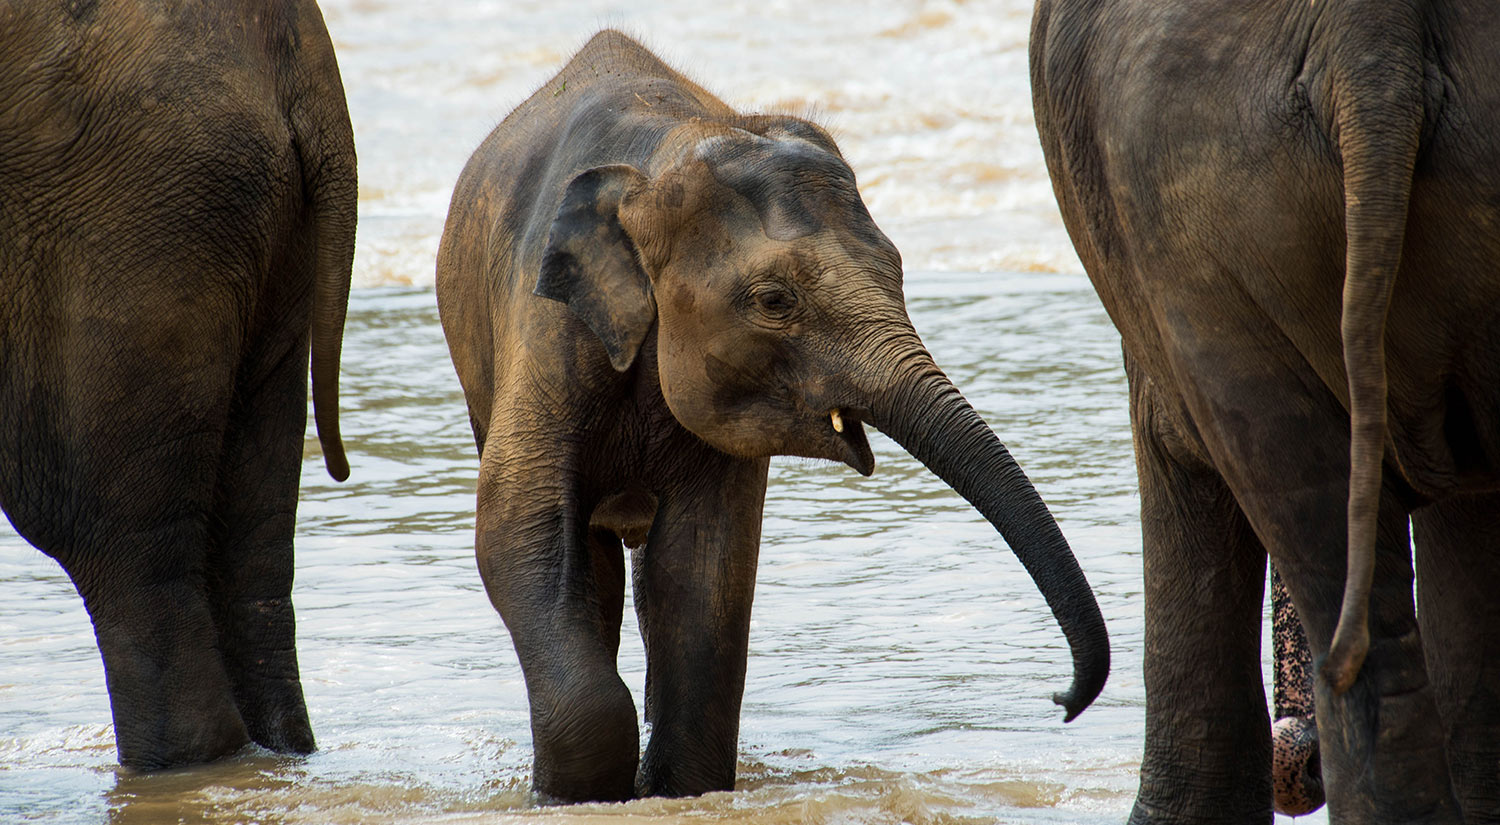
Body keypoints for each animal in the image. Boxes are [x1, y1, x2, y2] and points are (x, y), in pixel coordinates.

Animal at [438, 29, 1110, 804]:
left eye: (897, 266)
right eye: (773, 300)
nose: (1059, 700)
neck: (662, 154)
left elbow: (703, 562)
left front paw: (670, 790)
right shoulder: (547, 329)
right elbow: (518, 526)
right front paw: (576, 795)